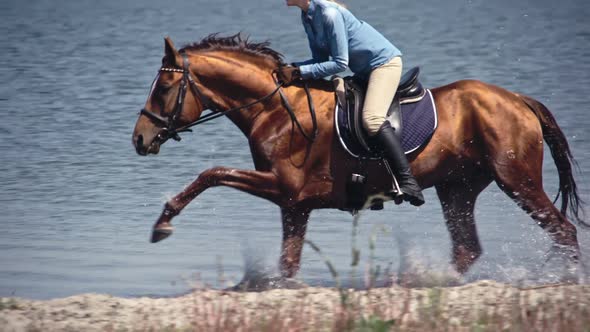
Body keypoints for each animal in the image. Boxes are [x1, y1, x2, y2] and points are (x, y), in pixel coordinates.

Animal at [132, 35, 584, 280]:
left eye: (164, 89)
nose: (139, 138)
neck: (275, 109)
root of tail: (518, 99)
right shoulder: (293, 204)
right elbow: (288, 264)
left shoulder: (283, 187)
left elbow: (211, 173)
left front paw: (163, 223)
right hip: (458, 187)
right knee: (467, 249)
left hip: (516, 180)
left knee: (563, 230)